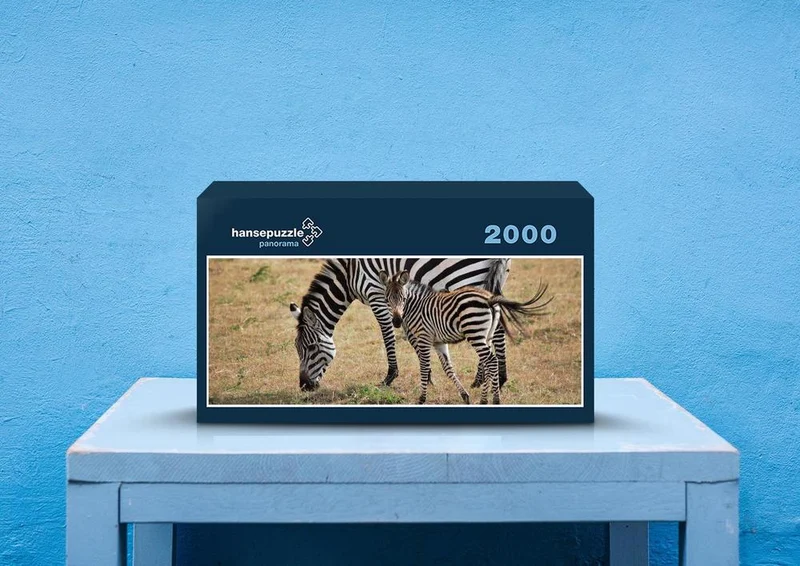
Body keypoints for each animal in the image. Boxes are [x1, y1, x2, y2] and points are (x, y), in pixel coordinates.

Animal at [289, 258, 511, 391]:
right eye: (297, 349)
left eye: (311, 348)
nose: (304, 386)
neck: (350, 274)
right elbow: (411, 334)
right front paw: (428, 376)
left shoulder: (376, 294)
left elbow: (388, 334)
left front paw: (390, 376)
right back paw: (489, 378)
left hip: (465, 277)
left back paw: (492, 378)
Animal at [380, 270, 551, 405]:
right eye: (387, 300)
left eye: (403, 299)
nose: (396, 321)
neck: (416, 307)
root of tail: (489, 299)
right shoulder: (438, 342)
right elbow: (448, 368)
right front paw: (464, 395)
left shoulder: (424, 338)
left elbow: (424, 366)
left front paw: (422, 398)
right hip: (486, 336)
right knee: (487, 362)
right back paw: (484, 400)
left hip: (474, 332)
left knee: (491, 360)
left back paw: (495, 400)